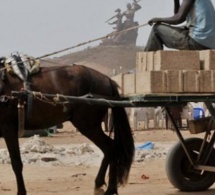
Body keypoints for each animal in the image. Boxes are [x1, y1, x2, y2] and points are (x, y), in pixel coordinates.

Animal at [0, 60, 134, 193]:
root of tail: (107, 79)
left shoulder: (8, 129)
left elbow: (16, 163)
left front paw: (21, 191)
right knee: (110, 148)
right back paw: (103, 185)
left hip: (87, 125)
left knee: (111, 147)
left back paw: (109, 188)